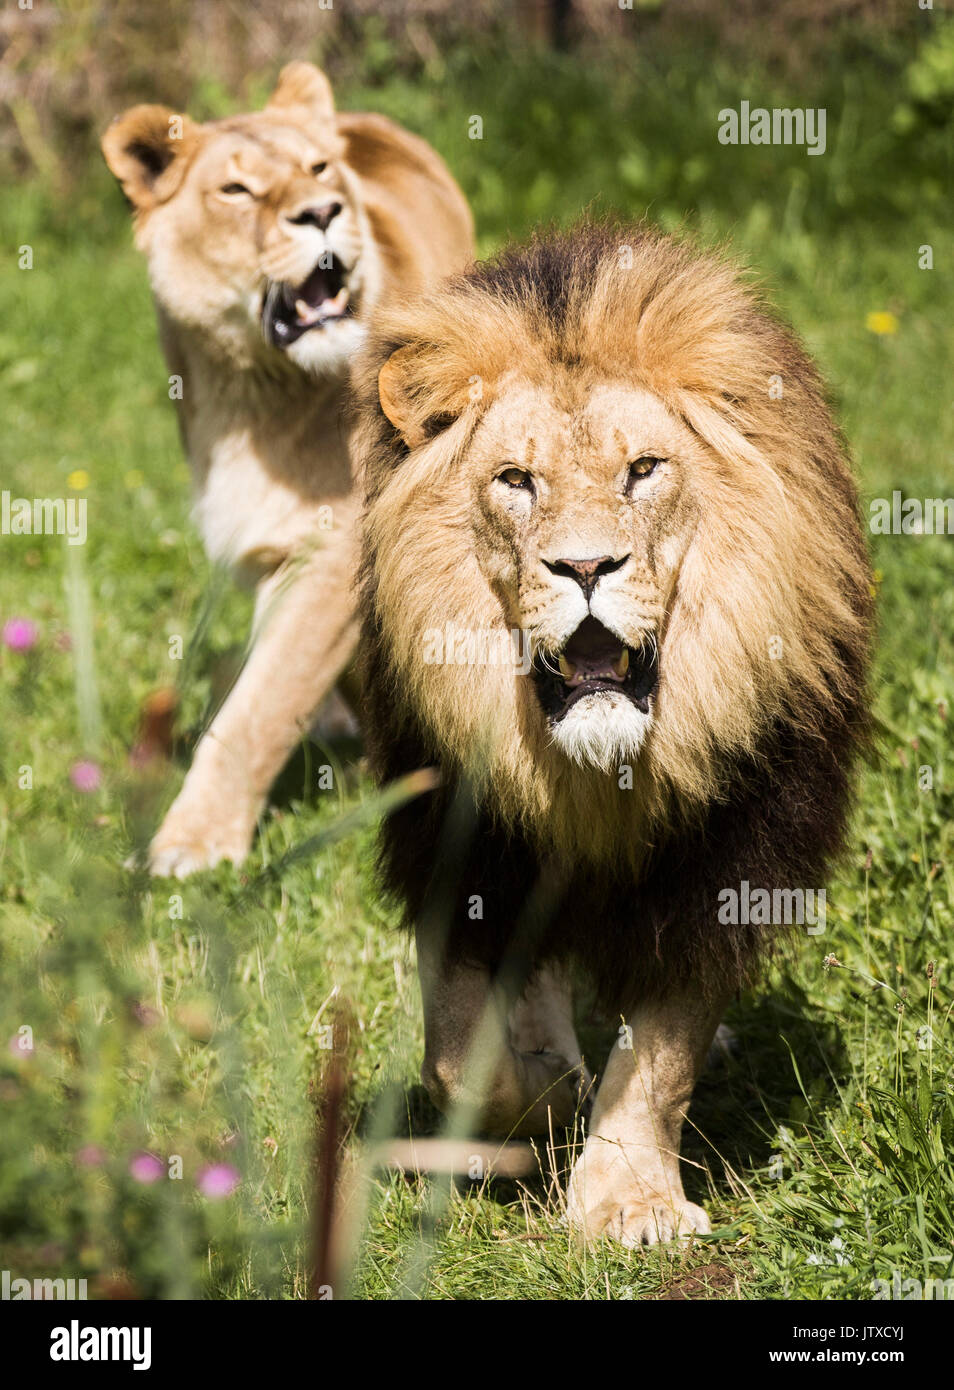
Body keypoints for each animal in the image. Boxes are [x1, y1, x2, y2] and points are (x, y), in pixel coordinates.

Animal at [102, 61, 474, 876]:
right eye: (237, 191)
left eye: (318, 170)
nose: (322, 213)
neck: (249, 393)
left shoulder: (333, 554)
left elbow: (260, 707)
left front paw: (194, 846)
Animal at [355, 224, 873, 1246]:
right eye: (516, 480)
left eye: (644, 470)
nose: (587, 566)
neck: (594, 776)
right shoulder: (455, 847)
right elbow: (458, 1047)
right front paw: (539, 1102)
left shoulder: (723, 864)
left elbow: (661, 1052)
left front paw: (630, 1202)